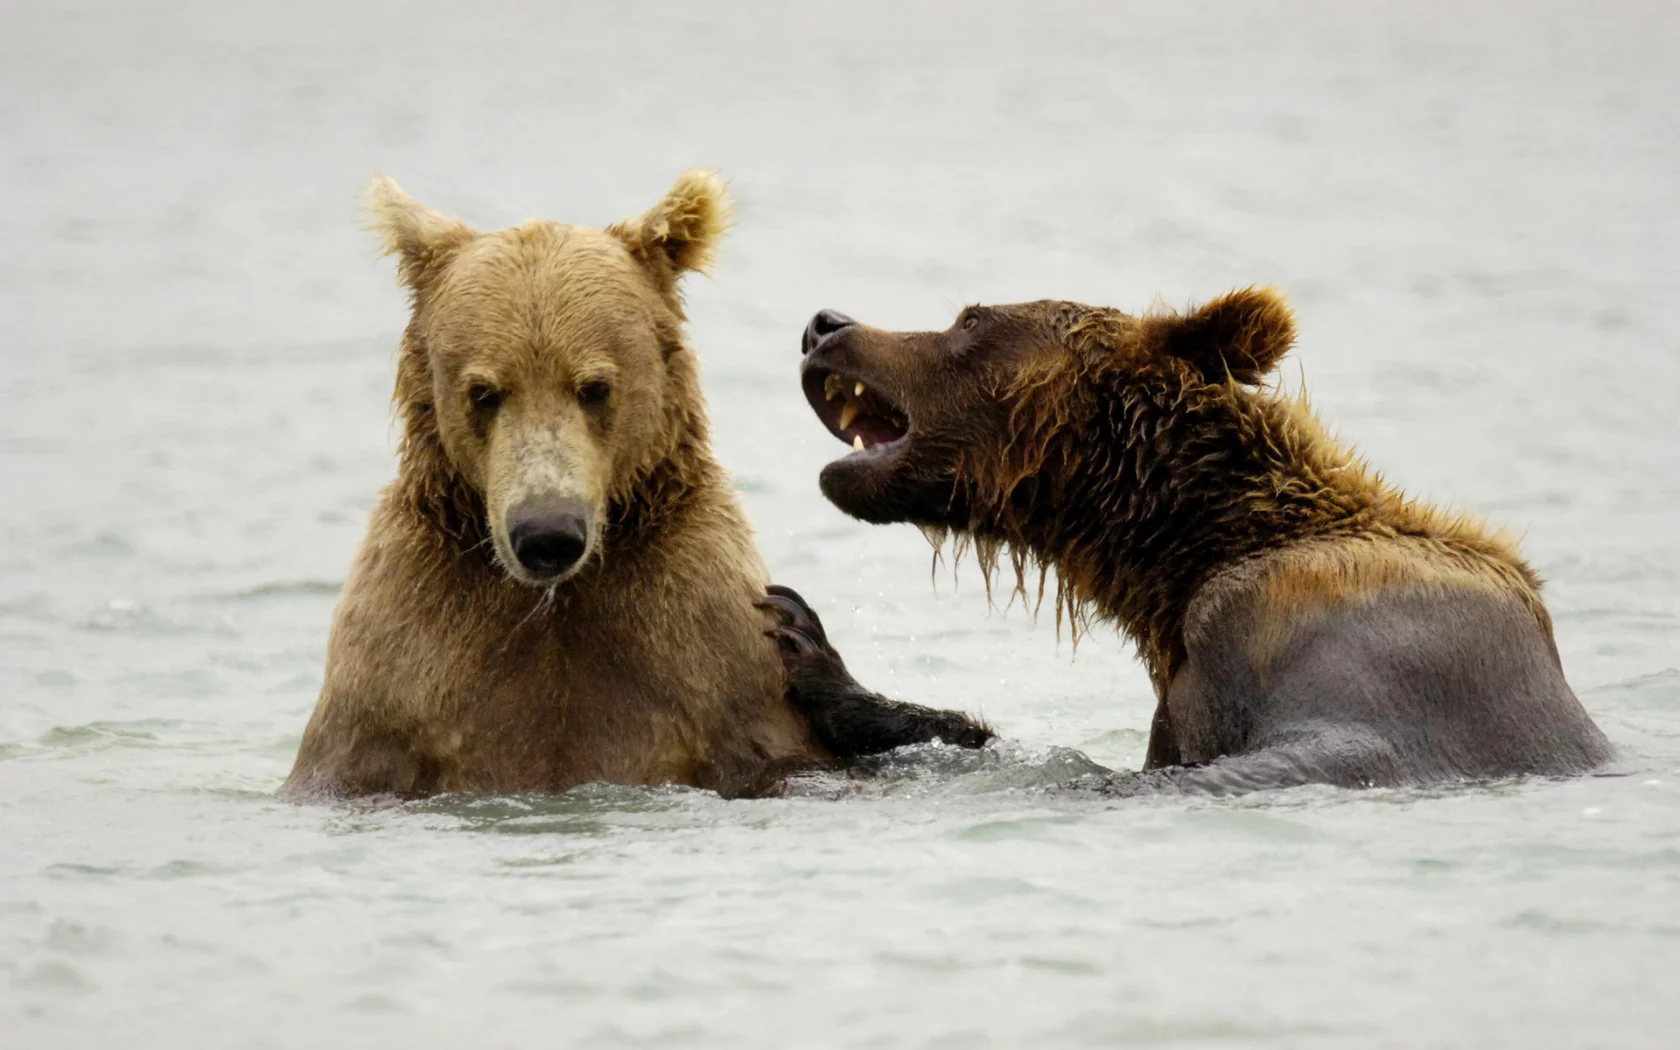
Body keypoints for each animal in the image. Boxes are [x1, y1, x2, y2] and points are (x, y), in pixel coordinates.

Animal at [275, 172, 981, 799]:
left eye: (594, 386)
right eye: (483, 391)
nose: (548, 533)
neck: (556, 601)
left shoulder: (704, 644)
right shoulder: (403, 665)